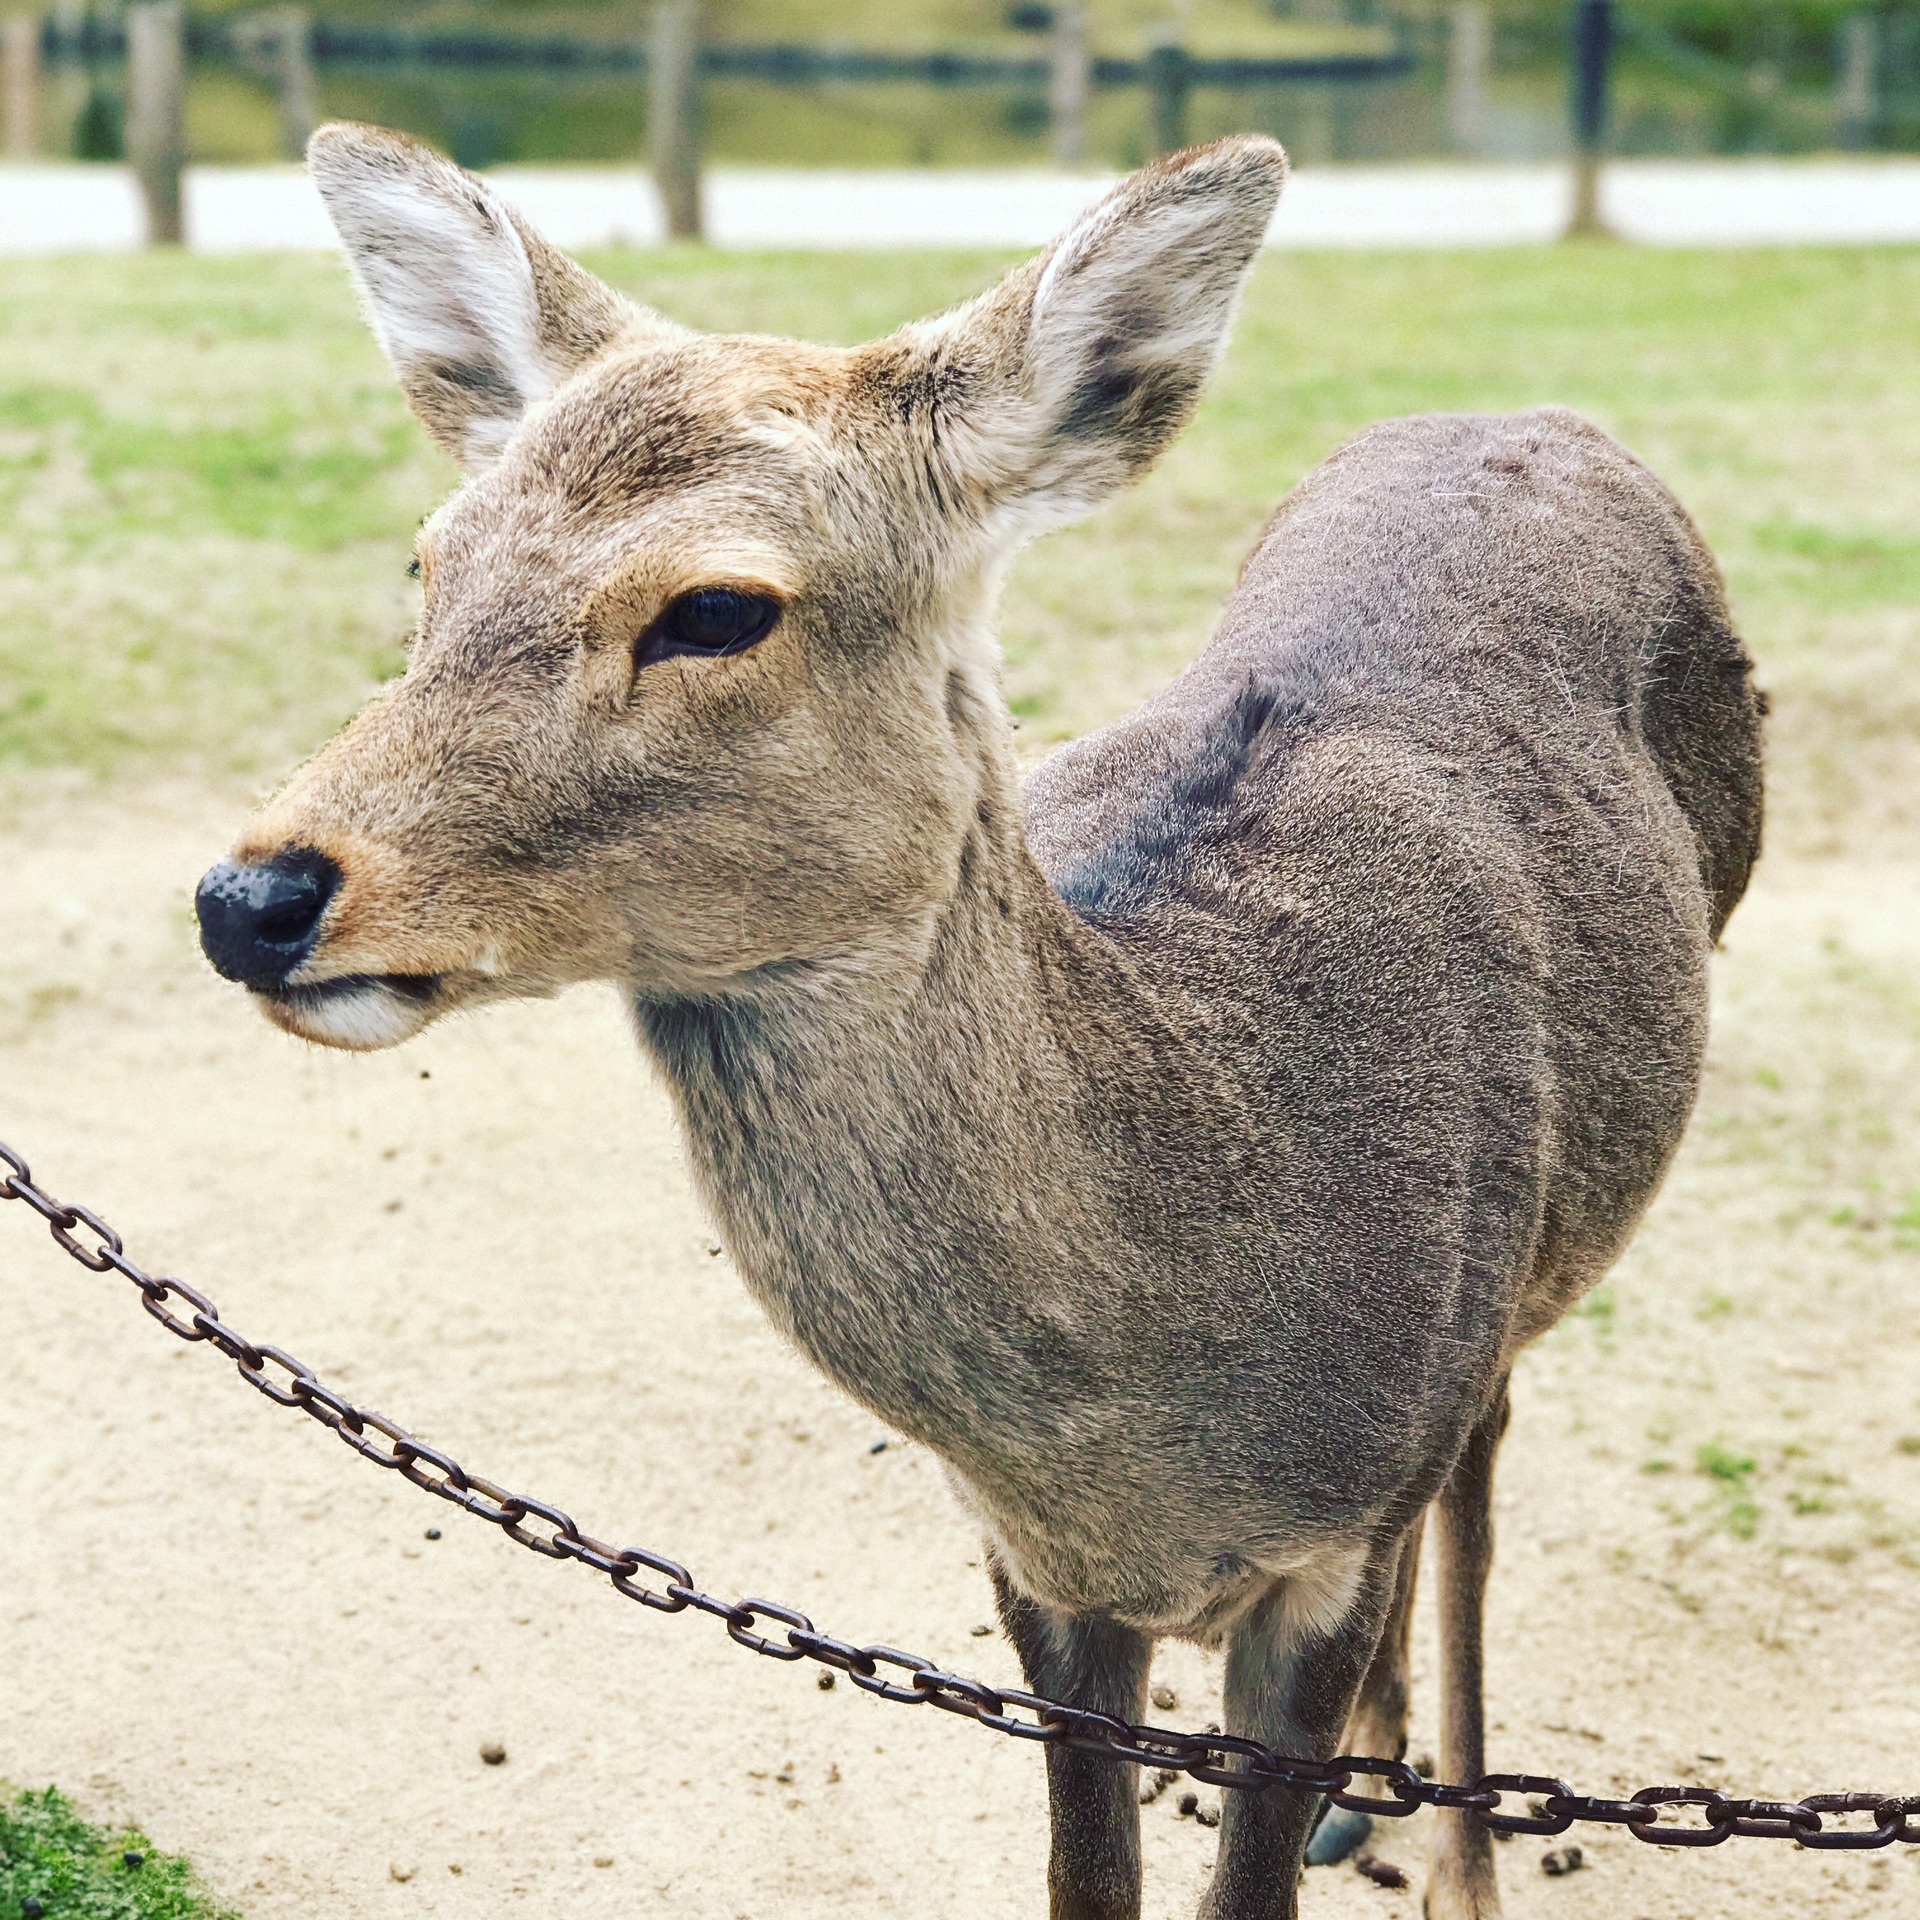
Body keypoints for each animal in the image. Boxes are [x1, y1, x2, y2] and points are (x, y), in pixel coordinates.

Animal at [187, 123, 1758, 1920]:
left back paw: (1455, 1852)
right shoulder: (1032, 1571)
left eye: (718, 607)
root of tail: (1535, 413)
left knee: (1484, 1468)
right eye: (429, 561)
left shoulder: (1346, 1519)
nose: (253, 897)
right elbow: (1090, 1876)